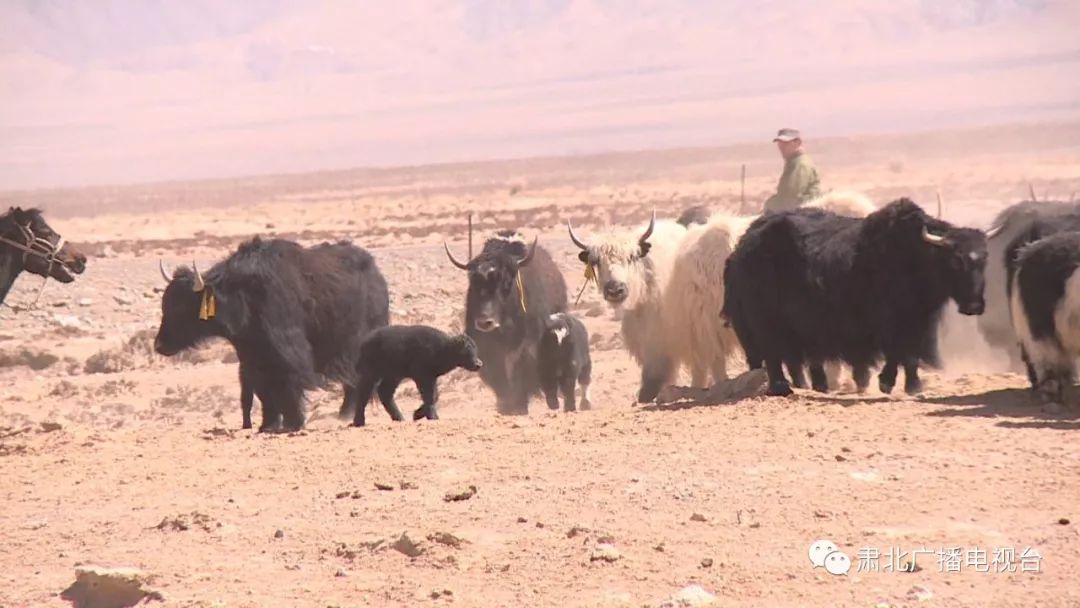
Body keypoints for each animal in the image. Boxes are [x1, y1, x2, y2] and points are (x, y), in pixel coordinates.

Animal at [341, 326, 486, 425]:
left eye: (475, 348)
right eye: (466, 350)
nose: (479, 364)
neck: (442, 348)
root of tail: (364, 343)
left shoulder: (430, 377)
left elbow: (434, 396)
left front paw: (418, 414)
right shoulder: (422, 376)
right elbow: (430, 396)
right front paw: (430, 416)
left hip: (393, 375)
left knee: (384, 393)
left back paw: (399, 418)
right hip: (372, 373)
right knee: (364, 393)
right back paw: (359, 422)